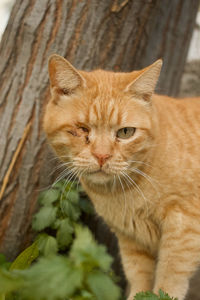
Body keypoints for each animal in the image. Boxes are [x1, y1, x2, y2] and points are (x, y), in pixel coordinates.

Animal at [44, 54, 200, 300]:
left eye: (126, 132)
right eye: (82, 129)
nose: (102, 155)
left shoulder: (184, 228)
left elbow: (168, 280)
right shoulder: (131, 240)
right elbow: (138, 280)